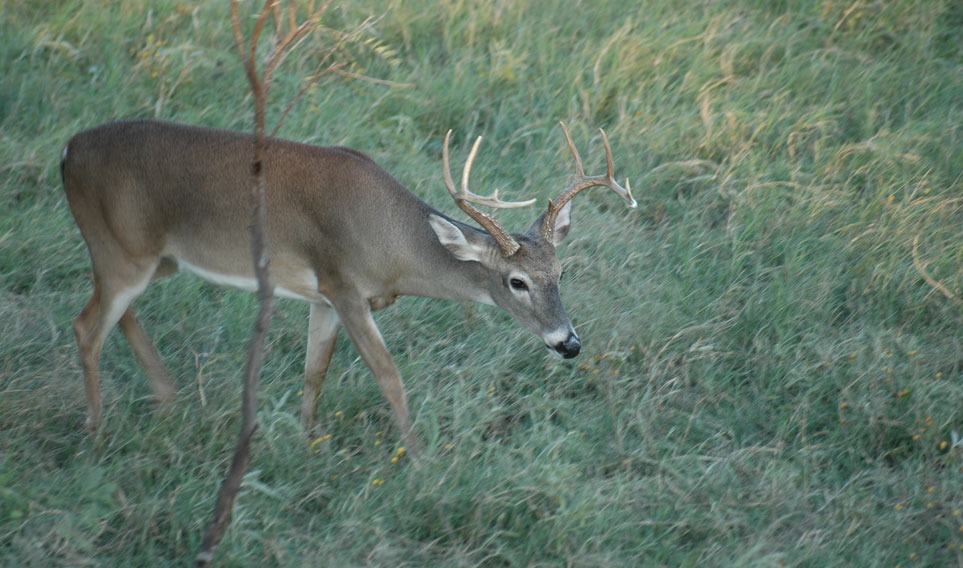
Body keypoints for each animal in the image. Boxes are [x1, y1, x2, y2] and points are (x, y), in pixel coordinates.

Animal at [58, 117, 632, 450]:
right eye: (516, 282)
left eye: (560, 273)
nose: (569, 343)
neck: (393, 243)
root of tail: (66, 152)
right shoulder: (345, 286)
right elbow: (389, 376)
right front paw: (418, 460)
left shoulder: (325, 296)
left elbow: (315, 371)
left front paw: (304, 440)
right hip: (122, 251)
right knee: (86, 326)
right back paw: (96, 432)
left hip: (151, 258)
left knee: (113, 315)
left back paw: (167, 397)